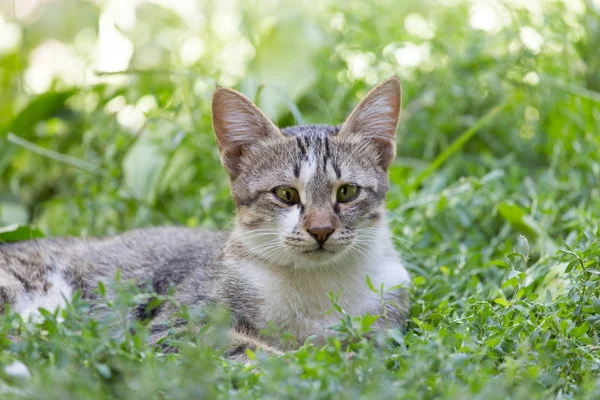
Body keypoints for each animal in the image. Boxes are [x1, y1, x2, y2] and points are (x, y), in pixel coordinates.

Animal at [0, 77, 410, 362]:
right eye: (286, 195)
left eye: (347, 192)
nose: (321, 229)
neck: (316, 287)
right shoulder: (173, 325)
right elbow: (254, 350)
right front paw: (322, 359)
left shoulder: (387, 314)